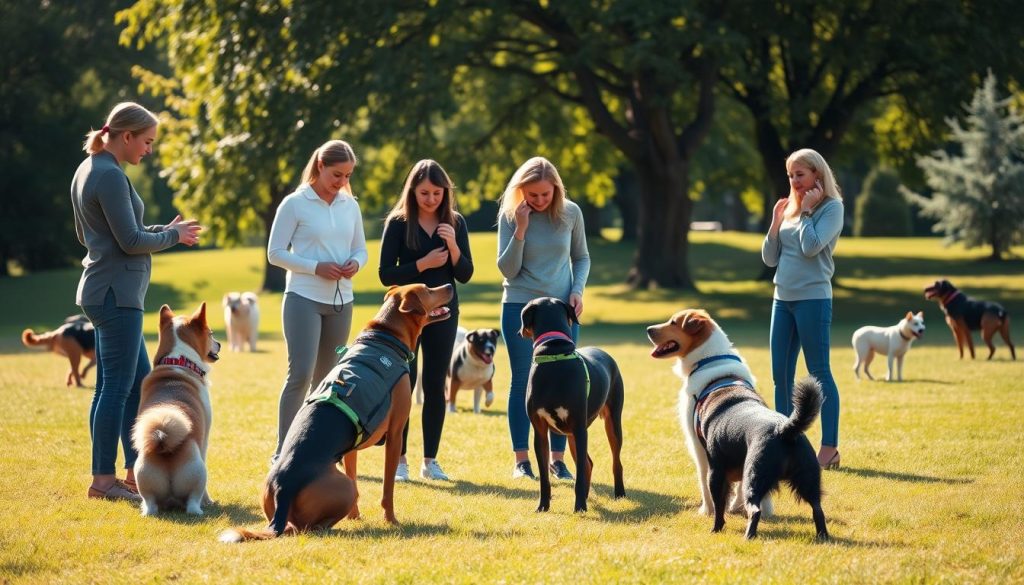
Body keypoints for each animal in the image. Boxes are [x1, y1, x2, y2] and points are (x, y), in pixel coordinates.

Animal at [133, 305, 221, 514]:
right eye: (211, 334)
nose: (220, 344)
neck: (178, 362)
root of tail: (164, 442)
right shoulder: (205, 437)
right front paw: (210, 501)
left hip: (142, 473)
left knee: (151, 505)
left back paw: (145, 508)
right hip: (198, 471)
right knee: (193, 503)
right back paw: (200, 509)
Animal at [222, 280, 454, 540]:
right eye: (427, 289)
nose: (449, 285)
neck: (384, 337)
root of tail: (283, 487)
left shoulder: (352, 447)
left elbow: (356, 475)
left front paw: (356, 516)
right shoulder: (395, 435)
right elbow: (388, 489)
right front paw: (391, 520)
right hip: (343, 486)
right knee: (305, 527)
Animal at [520, 297, 622, 512]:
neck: (553, 353)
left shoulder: (580, 428)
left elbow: (580, 473)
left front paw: (580, 506)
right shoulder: (540, 430)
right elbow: (544, 476)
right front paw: (543, 506)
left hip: (611, 420)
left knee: (615, 459)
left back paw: (619, 493)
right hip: (572, 435)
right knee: (588, 463)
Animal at [643, 309, 770, 520]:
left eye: (674, 322)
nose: (648, 329)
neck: (709, 358)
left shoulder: (697, 443)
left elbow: (703, 480)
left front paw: (707, 511)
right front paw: (735, 506)